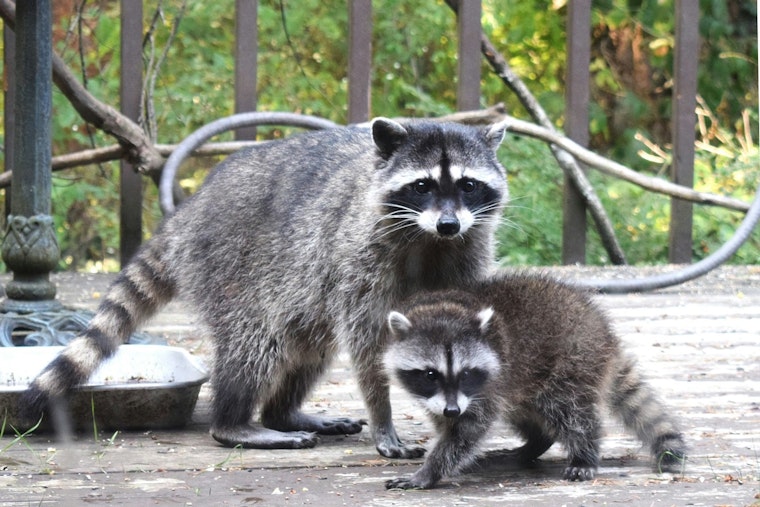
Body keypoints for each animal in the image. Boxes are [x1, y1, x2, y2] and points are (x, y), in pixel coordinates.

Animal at [21, 118, 509, 458]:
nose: (448, 223)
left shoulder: (467, 253)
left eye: (467, 185)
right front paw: (383, 417)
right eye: (422, 186)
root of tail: (191, 209)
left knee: (308, 345)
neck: (429, 241)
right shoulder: (359, 256)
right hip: (229, 264)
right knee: (255, 345)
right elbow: (369, 345)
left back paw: (283, 412)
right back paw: (236, 422)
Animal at [384, 273, 686, 489]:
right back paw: (534, 444)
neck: (445, 309)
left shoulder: (487, 386)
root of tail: (604, 333)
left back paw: (584, 452)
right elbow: (448, 423)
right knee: (524, 410)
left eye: (466, 373)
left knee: (568, 409)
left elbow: (466, 430)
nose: (452, 410)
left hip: (574, 358)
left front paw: (430, 470)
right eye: (430, 375)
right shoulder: (443, 397)